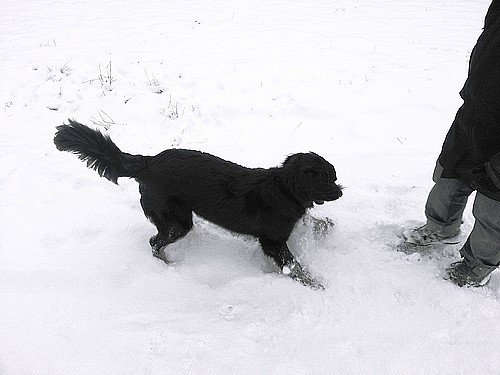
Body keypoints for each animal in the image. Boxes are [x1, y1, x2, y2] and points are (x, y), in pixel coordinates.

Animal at [55, 119, 344, 288]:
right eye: (328, 180)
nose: (340, 192)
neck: (284, 188)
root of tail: (148, 162)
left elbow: (312, 221)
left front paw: (326, 225)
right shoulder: (272, 241)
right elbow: (293, 265)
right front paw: (314, 282)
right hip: (176, 220)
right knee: (155, 242)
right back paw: (167, 267)